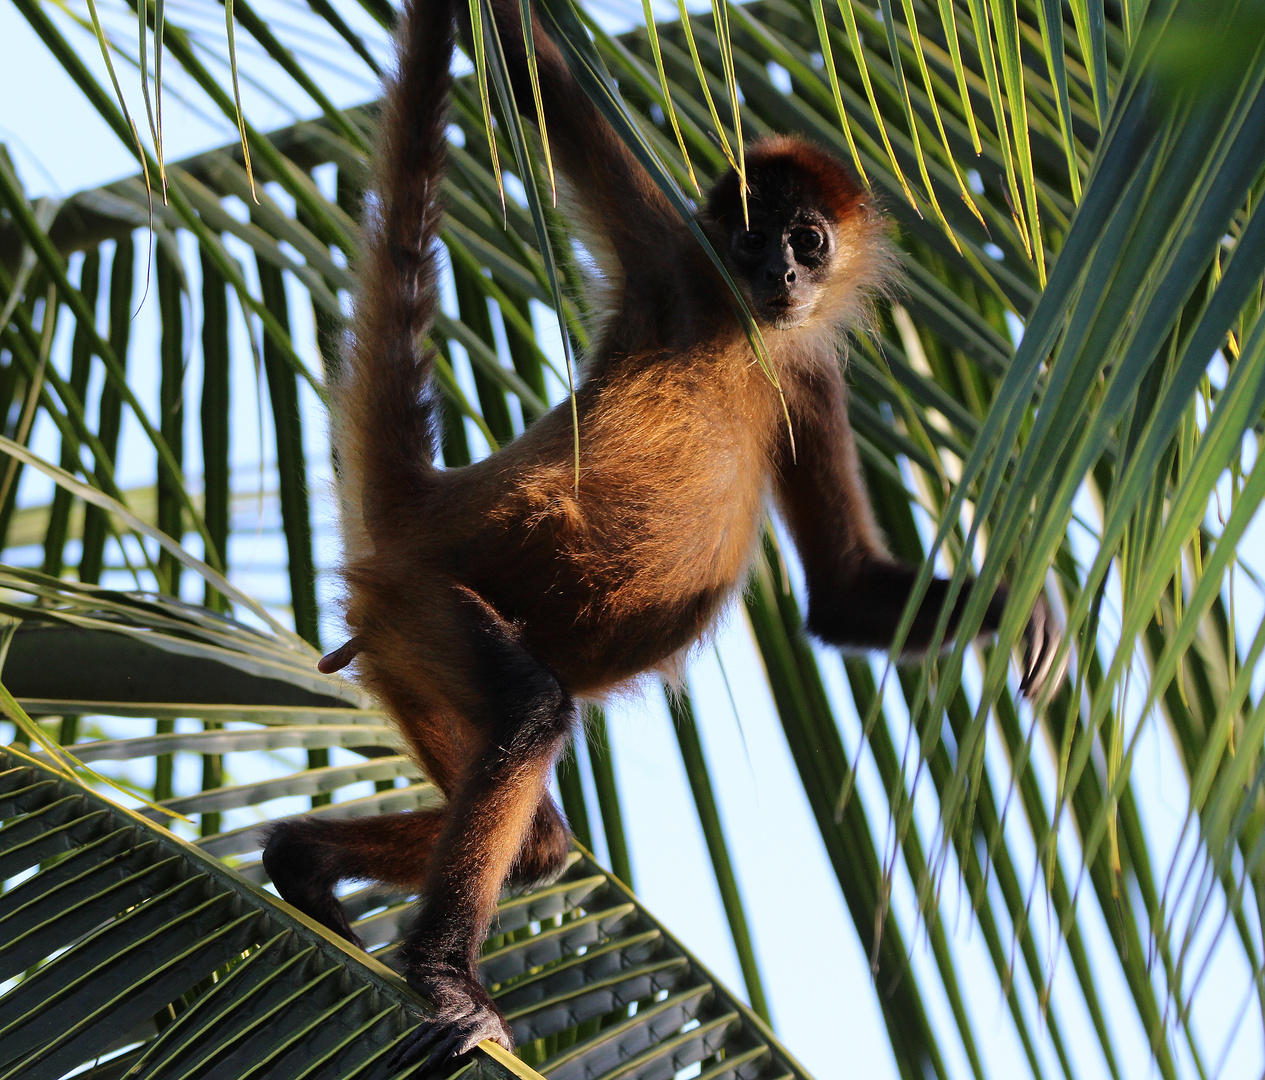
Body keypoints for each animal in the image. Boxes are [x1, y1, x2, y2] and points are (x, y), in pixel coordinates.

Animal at [261, 0, 1062, 1067]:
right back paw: (444, 975)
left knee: (541, 841)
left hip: (402, 652)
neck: (738, 327)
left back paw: (303, 862)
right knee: (531, 713)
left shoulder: (808, 375)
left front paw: (1016, 610)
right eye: (754, 236)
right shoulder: (667, 249)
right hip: (426, 602)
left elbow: (845, 590)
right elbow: (525, 73)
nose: (779, 270)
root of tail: (433, 502)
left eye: (809, 240)